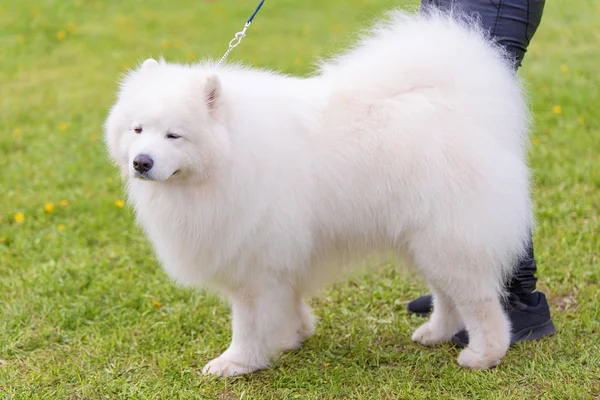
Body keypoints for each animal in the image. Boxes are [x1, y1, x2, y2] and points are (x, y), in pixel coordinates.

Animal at [105, 9, 532, 376]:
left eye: (174, 135)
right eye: (138, 129)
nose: (141, 162)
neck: (230, 155)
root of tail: (466, 106)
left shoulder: (253, 261)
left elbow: (248, 322)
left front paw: (236, 363)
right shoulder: (279, 257)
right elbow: (288, 302)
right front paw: (294, 336)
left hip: (449, 238)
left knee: (479, 303)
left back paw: (483, 355)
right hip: (425, 240)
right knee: (446, 293)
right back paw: (435, 333)